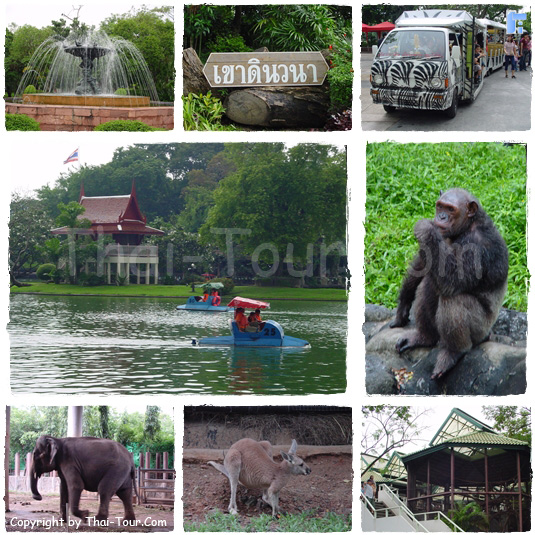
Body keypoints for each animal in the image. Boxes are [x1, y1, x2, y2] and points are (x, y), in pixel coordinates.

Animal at [392, 188, 508, 382]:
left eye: (451, 209)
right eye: (440, 206)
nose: (442, 217)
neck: (466, 227)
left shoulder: (478, 246)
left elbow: (453, 280)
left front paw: (425, 228)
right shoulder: (442, 239)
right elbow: (424, 264)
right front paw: (403, 304)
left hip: (480, 330)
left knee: (454, 298)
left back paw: (453, 353)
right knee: (428, 284)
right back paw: (424, 337)